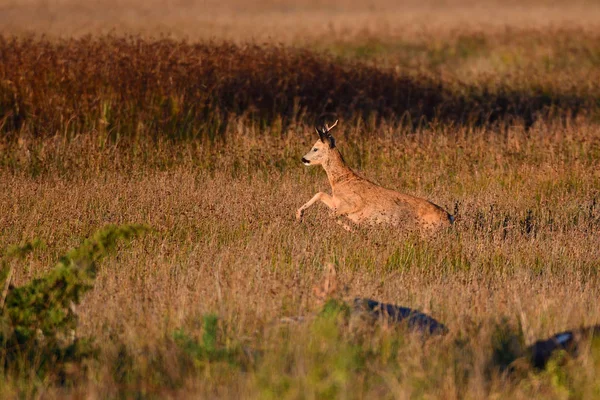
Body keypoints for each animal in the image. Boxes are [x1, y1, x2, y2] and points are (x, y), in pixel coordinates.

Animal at [296, 119, 454, 231]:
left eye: (315, 148)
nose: (303, 159)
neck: (341, 181)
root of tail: (450, 217)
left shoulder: (353, 204)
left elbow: (331, 214)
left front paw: (352, 230)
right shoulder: (336, 201)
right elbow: (320, 194)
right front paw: (299, 216)